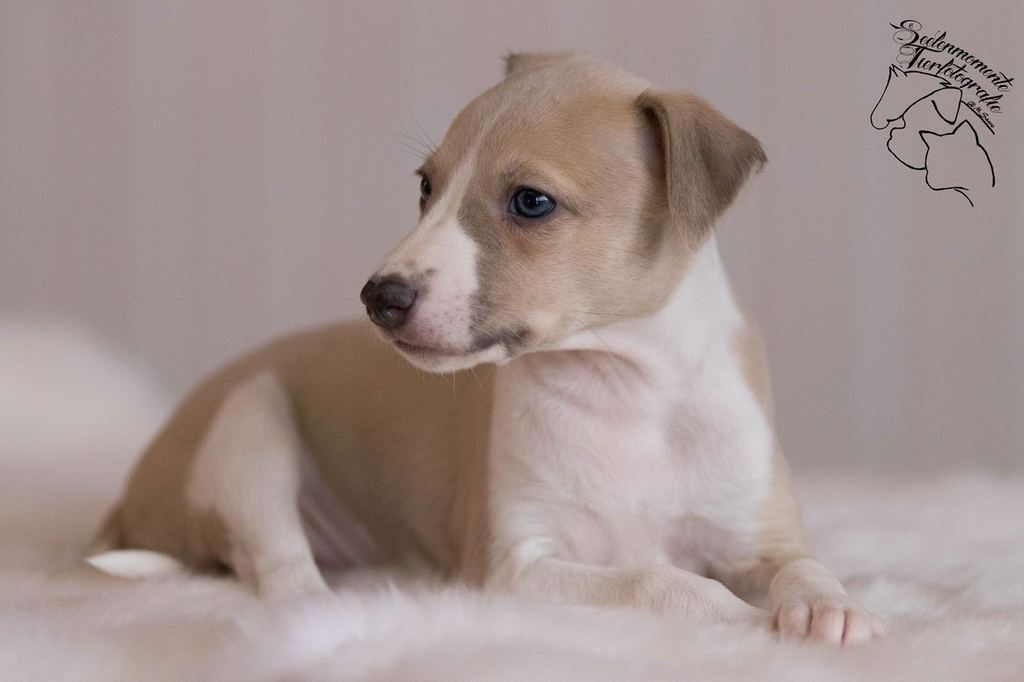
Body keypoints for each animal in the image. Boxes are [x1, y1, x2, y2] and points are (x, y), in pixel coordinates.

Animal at [88, 53, 883, 645]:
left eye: (531, 201)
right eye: (426, 186)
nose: (379, 298)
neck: (628, 389)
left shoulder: (760, 533)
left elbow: (803, 565)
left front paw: (829, 608)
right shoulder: (515, 566)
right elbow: (658, 579)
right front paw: (734, 614)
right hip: (250, 422)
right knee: (281, 567)